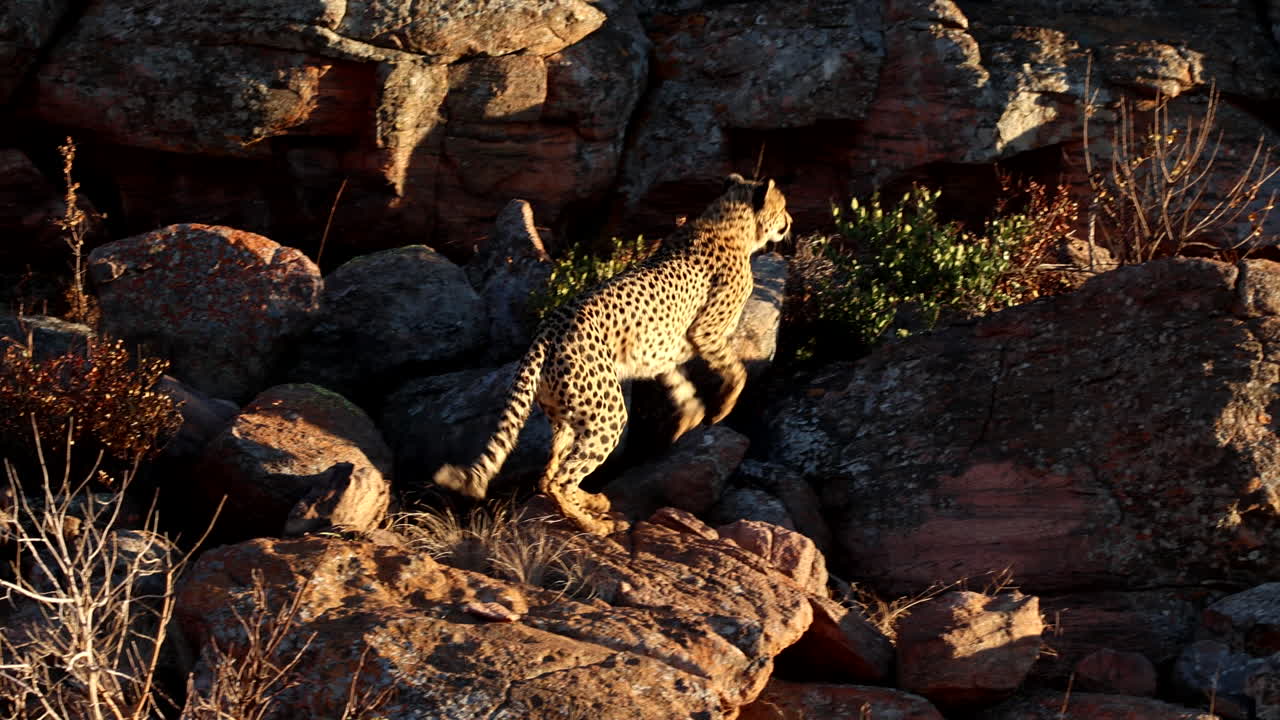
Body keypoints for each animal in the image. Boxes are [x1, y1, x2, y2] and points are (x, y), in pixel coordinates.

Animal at [433, 174, 792, 535]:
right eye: (783, 207)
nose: (789, 223)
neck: (728, 222)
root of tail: (545, 331)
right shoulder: (706, 332)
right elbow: (737, 371)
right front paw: (724, 406)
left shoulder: (660, 353)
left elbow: (682, 388)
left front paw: (687, 423)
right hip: (607, 411)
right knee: (560, 478)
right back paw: (592, 523)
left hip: (566, 414)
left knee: (549, 472)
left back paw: (591, 502)